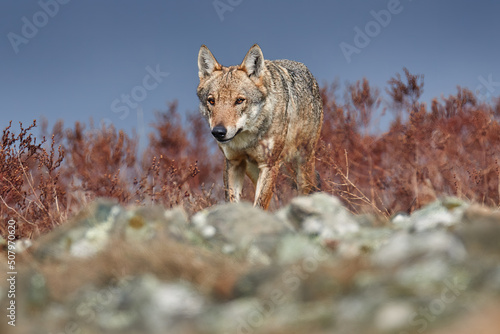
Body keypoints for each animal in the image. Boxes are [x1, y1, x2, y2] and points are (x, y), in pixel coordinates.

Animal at [196, 42, 324, 207]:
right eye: (211, 101)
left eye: (239, 100)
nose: (218, 132)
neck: (246, 139)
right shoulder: (233, 163)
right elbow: (234, 201)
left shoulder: (269, 165)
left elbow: (260, 203)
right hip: (254, 171)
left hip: (302, 166)